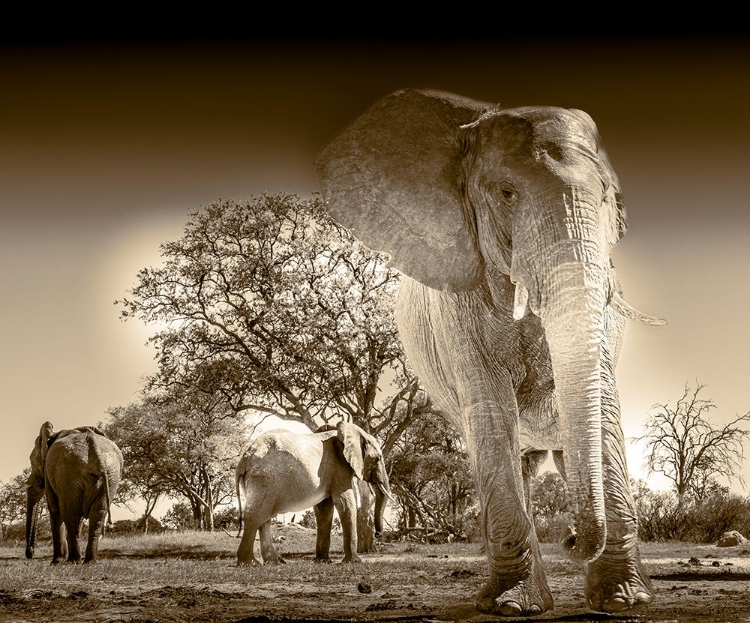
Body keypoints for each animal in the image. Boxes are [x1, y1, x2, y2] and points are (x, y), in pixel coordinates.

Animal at [26, 422, 123, 564]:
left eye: (32, 462)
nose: (30, 553)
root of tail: (95, 449)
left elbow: (54, 509)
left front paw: (56, 562)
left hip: (68, 473)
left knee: (70, 513)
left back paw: (73, 561)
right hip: (111, 476)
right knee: (98, 513)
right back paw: (89, 561)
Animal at [236, 422, 394, 568]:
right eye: (378, 458)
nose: (377, 534)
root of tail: (244, 459)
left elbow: (324, 509)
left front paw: (322, 561)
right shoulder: (339, 468)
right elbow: (345, 503)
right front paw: (354, 562)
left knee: (264, 517)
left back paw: (274, 562)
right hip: (265, 479)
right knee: (256, 515)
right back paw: (249, 563)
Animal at [314, 89, 668, 620]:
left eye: (608, 197)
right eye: (505, 193)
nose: (568, 538)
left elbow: (604, 406)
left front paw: (625, 600)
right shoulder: (457, 307)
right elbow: (490, 411)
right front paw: (512, 606)